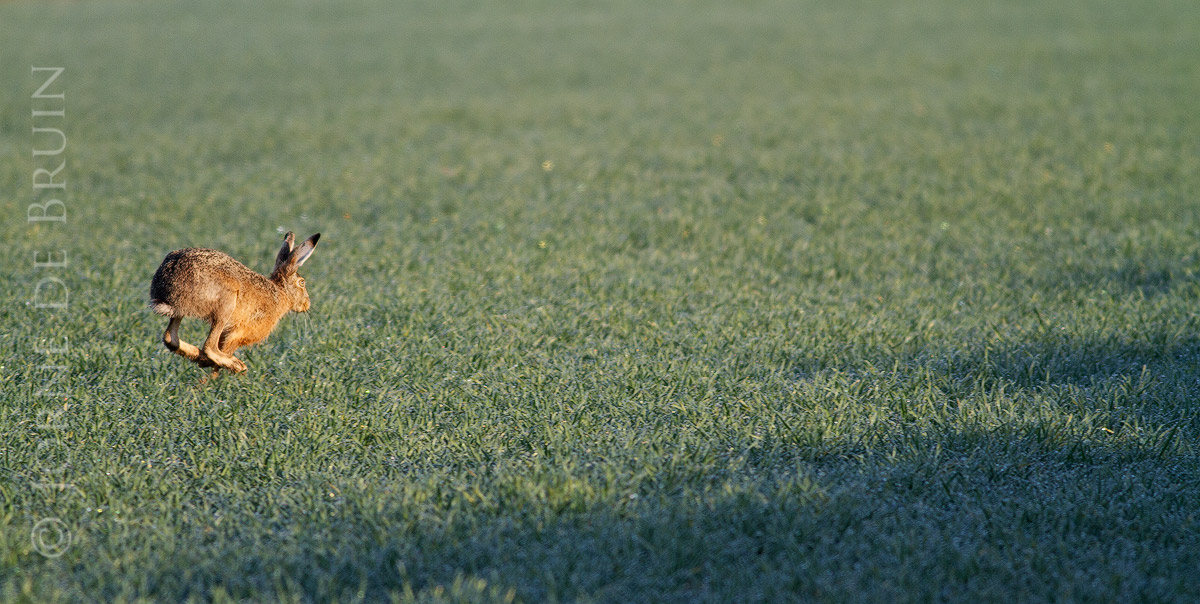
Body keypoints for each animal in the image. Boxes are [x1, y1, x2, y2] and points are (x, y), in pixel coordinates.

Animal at [149, 231, 320, 376]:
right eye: (302, 283)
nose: (307, 304)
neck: (280, 292)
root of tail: (166, 291)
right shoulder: (238, 332)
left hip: (181, 312)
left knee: (170, 337)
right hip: (226, 304)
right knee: (209, 346)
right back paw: (237, 365)